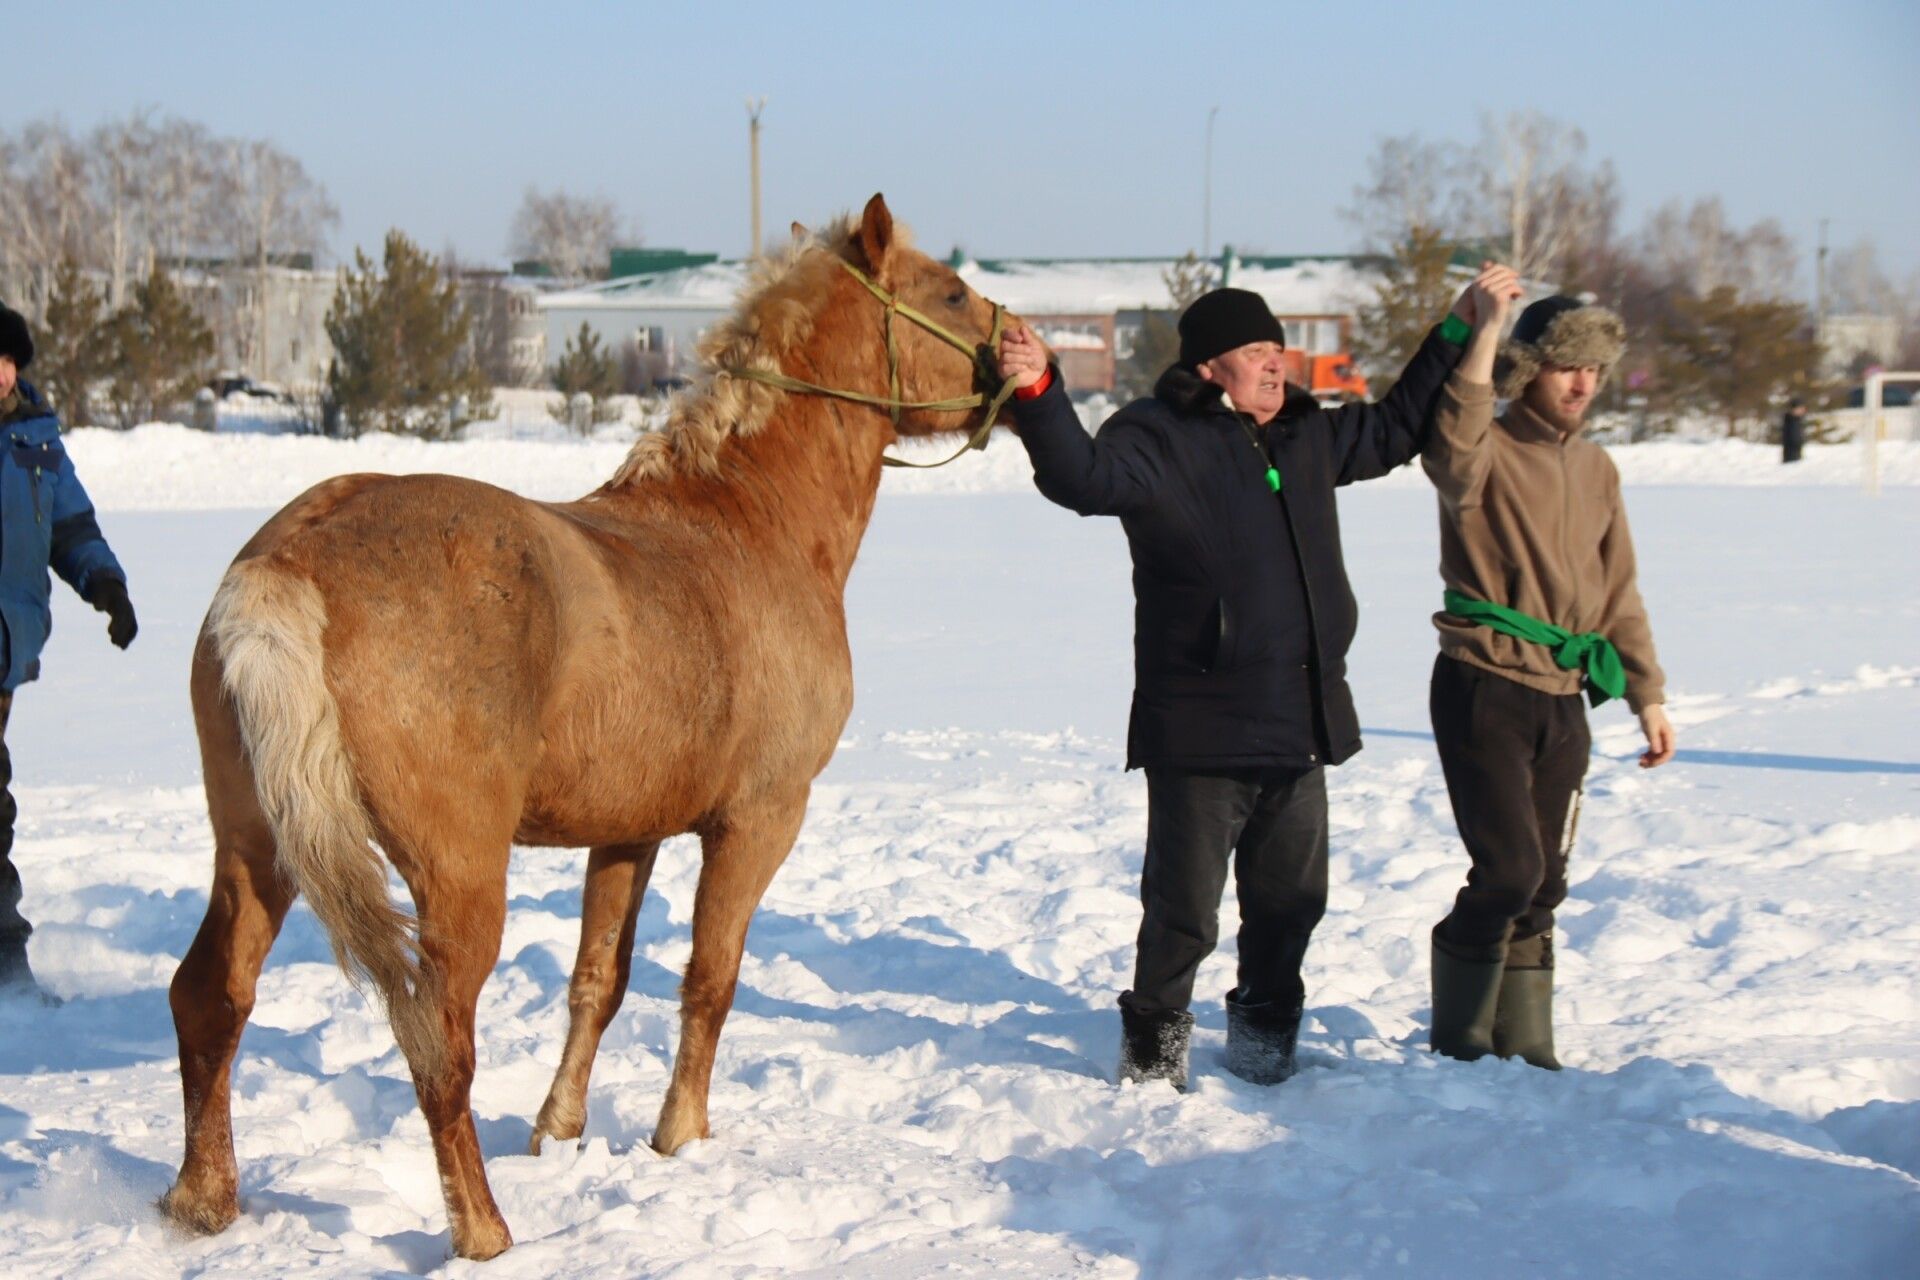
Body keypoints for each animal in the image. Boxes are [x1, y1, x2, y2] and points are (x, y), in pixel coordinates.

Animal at [159, 195, 1029, 1258]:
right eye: (949, 292)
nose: (1029, 356)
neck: (751, 524)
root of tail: (292, 556)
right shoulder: (759, 820)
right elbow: (710, 979)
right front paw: (679, 1137)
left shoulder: (628, 831)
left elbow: (597, 983)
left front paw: (559, 1132)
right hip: (455, 877)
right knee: (437, 1041)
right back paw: (484, 1231)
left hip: (258, 848)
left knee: (212, 998)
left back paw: (201, 1200)